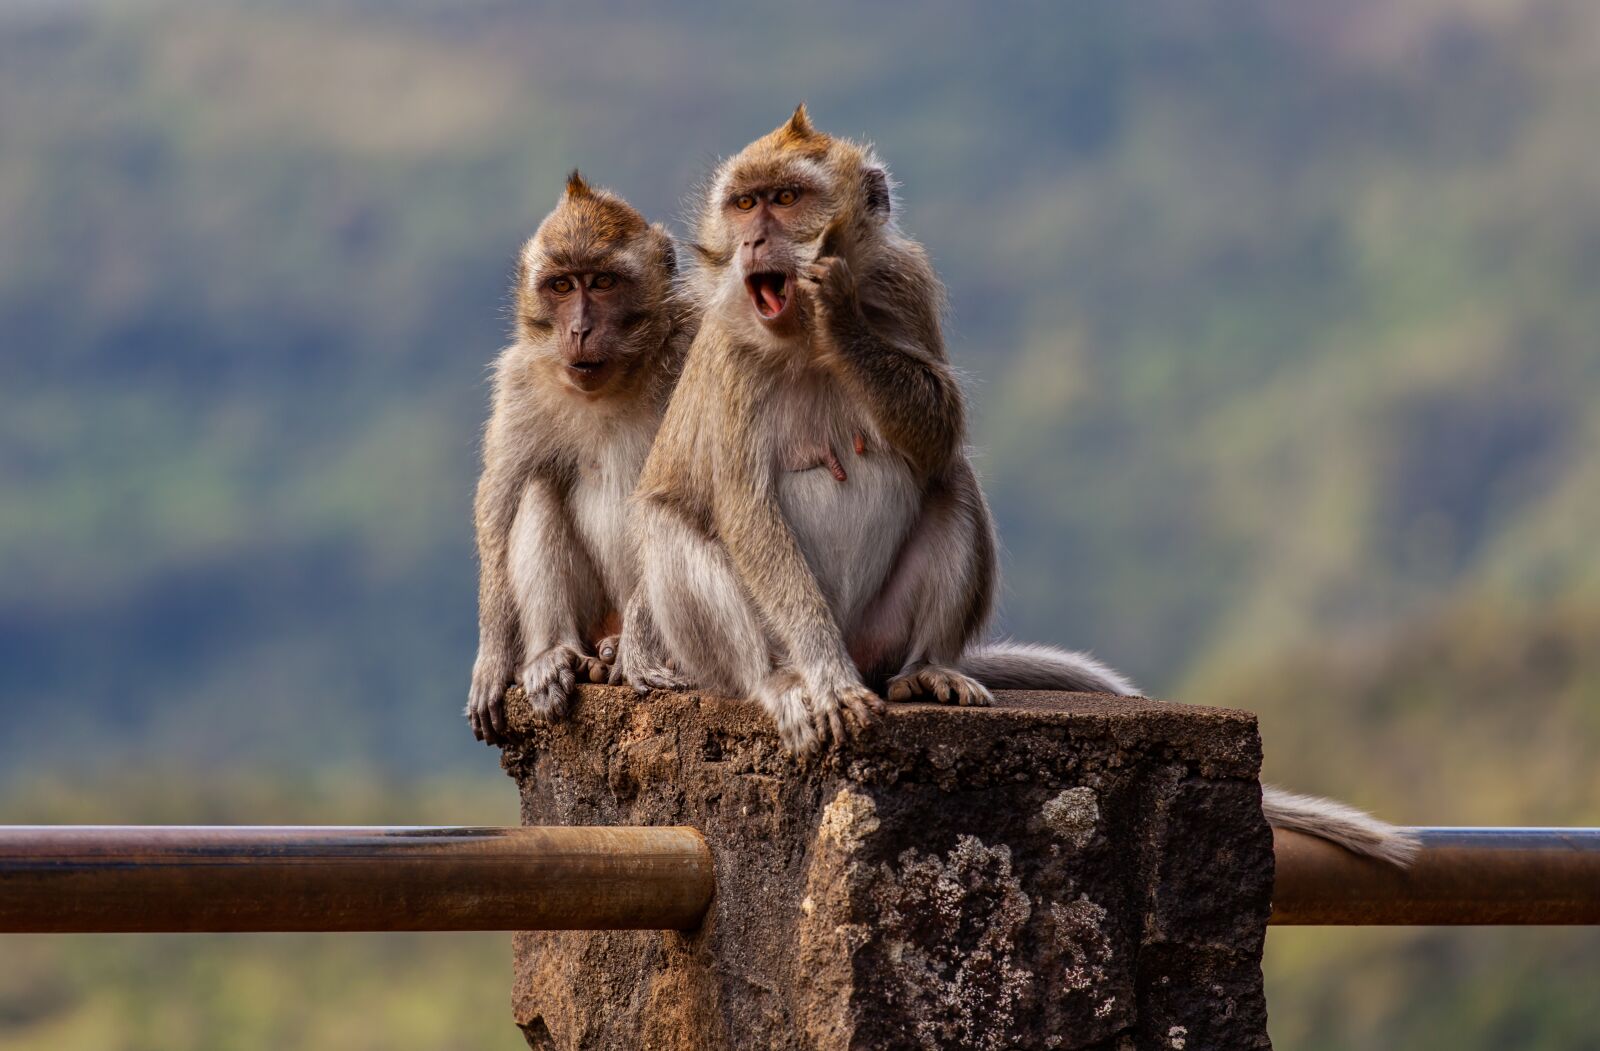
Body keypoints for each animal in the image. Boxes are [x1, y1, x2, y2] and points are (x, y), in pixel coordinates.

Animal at [464, 171, 688, 742]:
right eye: (562, 286)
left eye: (603, 282)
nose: (579, 330)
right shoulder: (520, 380)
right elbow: (499, 500)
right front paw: (493, 657)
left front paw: (640, 650)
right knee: (539, 484)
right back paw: (555, 654)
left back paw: (622, 649)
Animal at [617, 104, 1420, 863]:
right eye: (744, 205)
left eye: (785, 199)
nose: (755, 242)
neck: (795, 339)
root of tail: (871, 652)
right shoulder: (730, 355)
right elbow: (747, 511)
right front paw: (821, 676)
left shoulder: (903, 286)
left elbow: (938, 429)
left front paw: (840, 312)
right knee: (669, 527)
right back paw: (782, 682)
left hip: (881, 628)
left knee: (953, 480)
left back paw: (926, 671)